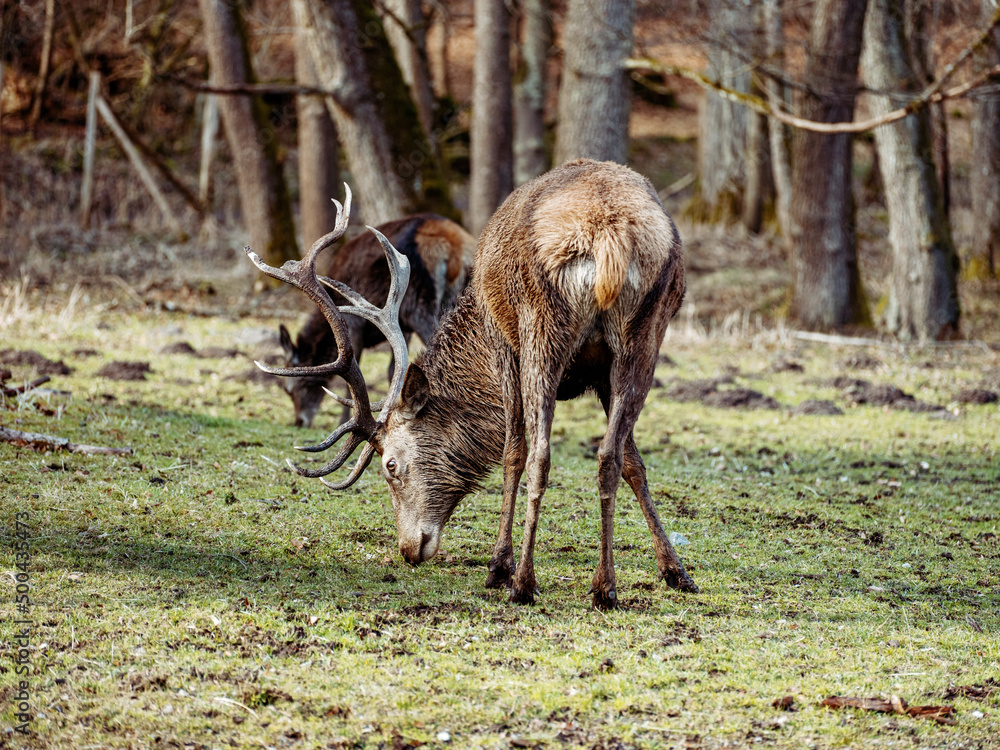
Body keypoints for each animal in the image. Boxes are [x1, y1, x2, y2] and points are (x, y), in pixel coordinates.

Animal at [278, 214, 475, 428]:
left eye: (288, 388)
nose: (299, 421)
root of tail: (456, 248)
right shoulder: (402, 326)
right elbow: (392, 370)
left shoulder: (355, 323)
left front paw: (344, 420)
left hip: (419, 302)